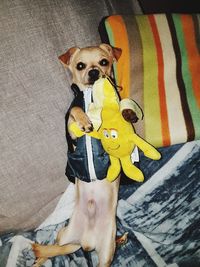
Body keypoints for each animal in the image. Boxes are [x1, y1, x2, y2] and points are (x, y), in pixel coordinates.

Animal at [33, 45, 139, 266]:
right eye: (80, 65)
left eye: (104, 62)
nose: (94, 72)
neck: (91, 94)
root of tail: (85, 243)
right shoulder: (72, 134)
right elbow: (74, 108)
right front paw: (83, 120)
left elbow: (123, 108)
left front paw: (127, 112)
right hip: (64, 236)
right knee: (51, 251)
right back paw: (38, 260)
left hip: (105, 252)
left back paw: (120, 239)